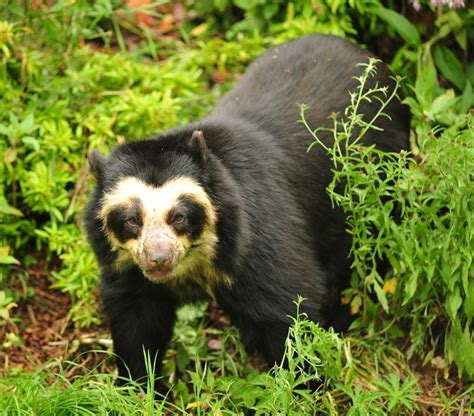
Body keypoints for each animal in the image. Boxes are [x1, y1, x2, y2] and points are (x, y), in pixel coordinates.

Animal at [85, 34, 412, 382]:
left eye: (179, 216)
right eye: (131, 220)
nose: (158, 259)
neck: (198, 258)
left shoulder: (258, 238)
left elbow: (289, 306)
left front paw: (299, 381)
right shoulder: (128, 269)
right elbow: (137, 321)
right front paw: (143, 384)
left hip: (377, 184)